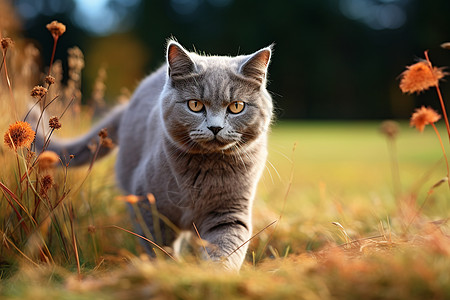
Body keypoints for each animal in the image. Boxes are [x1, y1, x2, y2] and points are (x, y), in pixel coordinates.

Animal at [42, 39, 272, 270]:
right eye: (195, 105)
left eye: (236, 107)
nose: (215, 128)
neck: (204, 172)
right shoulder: (147, 202)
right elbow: (157, 244)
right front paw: (166, 267)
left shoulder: (229, 213)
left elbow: (225, 247)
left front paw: (215, 272)